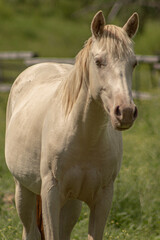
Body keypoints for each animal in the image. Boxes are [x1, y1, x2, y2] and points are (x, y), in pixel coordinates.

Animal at [5, 10, 139, 240]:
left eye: (134, 63)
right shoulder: (51, 194)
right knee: (30, 230)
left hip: (71, 204)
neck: (85, 136)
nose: (126, 112)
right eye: (99, 61)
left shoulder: (103, 198)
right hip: (24, 191)